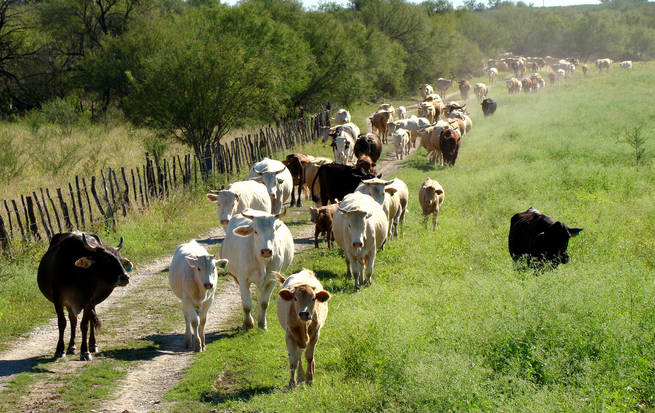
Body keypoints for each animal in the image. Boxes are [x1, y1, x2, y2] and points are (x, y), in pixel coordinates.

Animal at [36, 230, 133, 358]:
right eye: (106, 260)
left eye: (120, 260)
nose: (125, 277)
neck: (76, 273)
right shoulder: (58, 299)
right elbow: (62, 323)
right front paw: (59, 350)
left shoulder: (89, 300)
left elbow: (85, 324)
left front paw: (85, 351)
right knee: (73, 320)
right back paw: (71, 346)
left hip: (93, 301)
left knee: (89, 320)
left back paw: (92, 345)